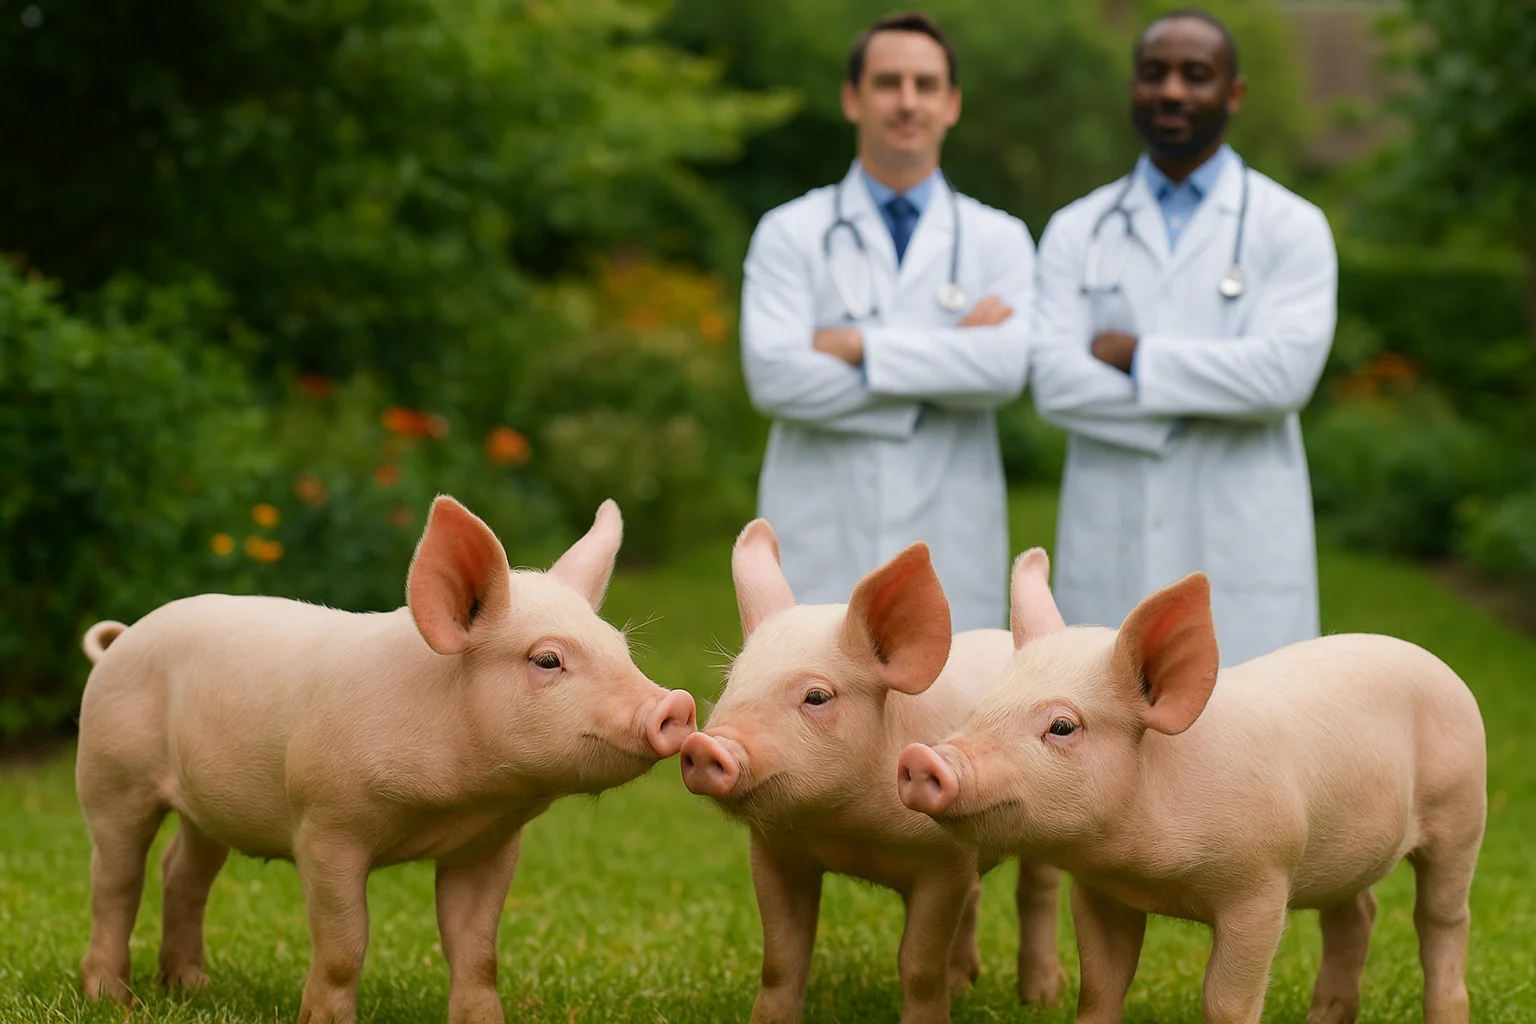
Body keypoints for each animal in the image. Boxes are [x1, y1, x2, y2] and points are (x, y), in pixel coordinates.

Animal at [74, 496, 697, 1024]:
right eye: (547, 660)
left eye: (621, 648)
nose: (677, 704)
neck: (452, 803)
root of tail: (121, 640)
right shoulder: (326, 826)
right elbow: (344, 946)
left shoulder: (489, 842)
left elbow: (477, 949)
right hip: (110, 774)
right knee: (115, 879)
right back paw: (113, 999)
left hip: (208, 807)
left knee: (182, 870)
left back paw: (190, 987)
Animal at [678, 520, 1065, 1024]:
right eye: (732, 682)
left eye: (817, 696)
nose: (705, 744)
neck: (848, 830)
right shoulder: (775, 851)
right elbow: (781, 956)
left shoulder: (944, 860)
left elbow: (917, 964)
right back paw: (963, 986)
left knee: (1038, 892)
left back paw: (1043, 998)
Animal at [897, 549, 1487, 1024]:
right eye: (982, 708)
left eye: (1062, 726)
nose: (923, 757)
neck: (1148, 873)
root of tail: (1437, 664)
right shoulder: (1098, 890)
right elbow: (1100, 988)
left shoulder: (1261, 887)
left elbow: (1227, 1002)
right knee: (1356, 915)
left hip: (1462, 810)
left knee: (1442, 920)